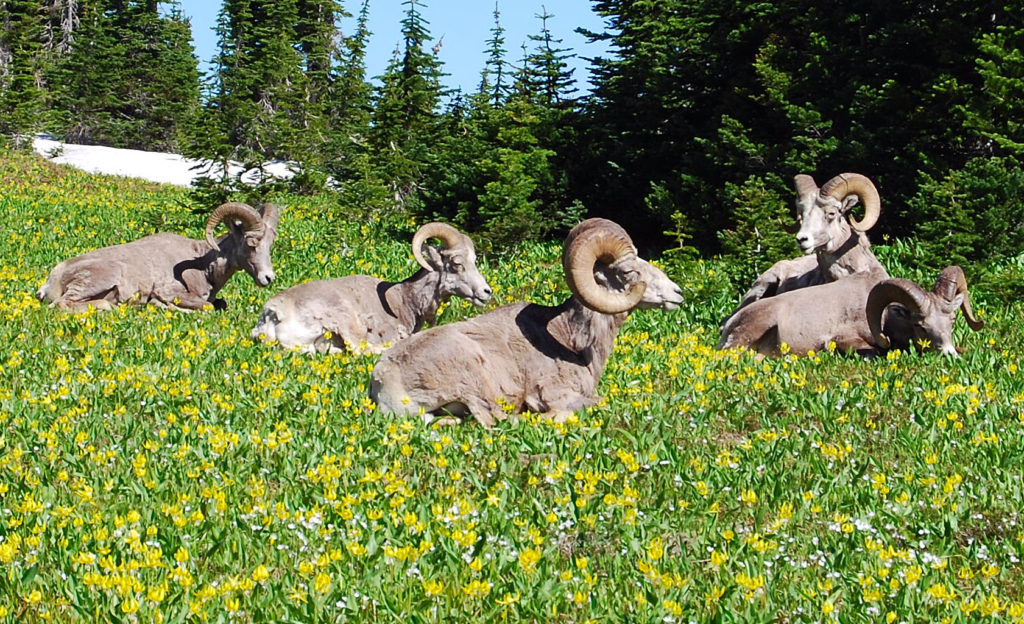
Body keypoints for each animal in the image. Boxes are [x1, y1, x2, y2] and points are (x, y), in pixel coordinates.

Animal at [37, 201, 278, 311]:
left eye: (270, 244)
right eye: (250, 243)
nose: (268, 278)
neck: (203, 267)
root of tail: (51, 281)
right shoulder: (170, 291)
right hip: (99, 279)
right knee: (62, 304)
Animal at [250, 222, 491, 350]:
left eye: (474, 260)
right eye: (457, 263)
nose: (486, 292)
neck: (405, 300)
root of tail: (274, 313)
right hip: (345, 319)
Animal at [372, 216, 684, 426]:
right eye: (628, 271)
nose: (678, 293)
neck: (571, 341)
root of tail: (383, 384)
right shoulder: (558, 394)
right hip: (475, 377)